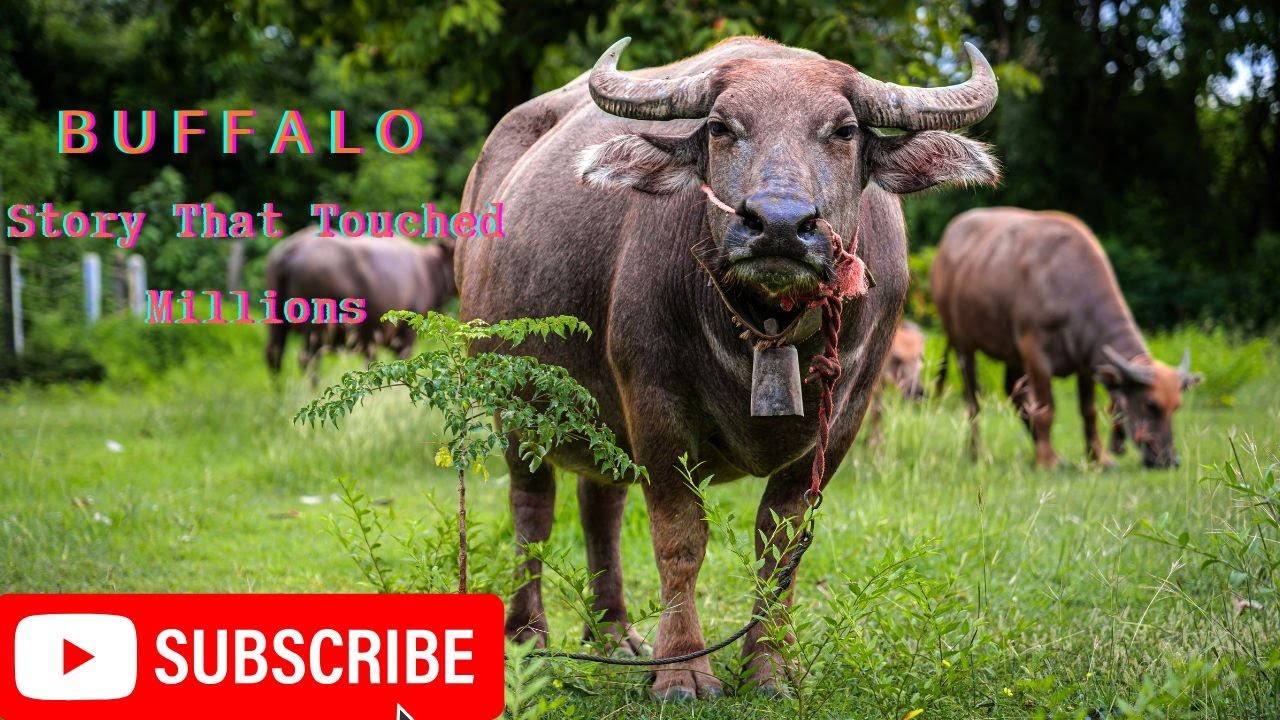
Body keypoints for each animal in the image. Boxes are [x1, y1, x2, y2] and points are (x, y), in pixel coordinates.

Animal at [264, 227, 455, 379]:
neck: (430, 268)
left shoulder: (369, 340)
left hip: (278, 325)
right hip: (316, 330)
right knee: (308, 360)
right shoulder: (405, 336)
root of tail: (293, 249)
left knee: (274, 357)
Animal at [456, 36, 998, 699]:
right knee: (532, 508)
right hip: (510, 398)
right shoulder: (656, 407)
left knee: (599, 505)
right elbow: (681, 540)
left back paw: (615, 636)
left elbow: (781, 548)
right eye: (720, 127)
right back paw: (531, 637)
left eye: (844, 130)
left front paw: (769, 668)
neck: (768, 333)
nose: (780, 224)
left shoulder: (843, 422)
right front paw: (682, 669)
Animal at [931, 207, 1201, 469]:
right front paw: (1047, 461)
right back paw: (978, 452)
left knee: (1014, 392)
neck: (1068, 288)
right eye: (1151, 405)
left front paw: (1098, 457)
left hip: (1012, 354)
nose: (1170, 460)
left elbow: (1088, 411)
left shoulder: (1086, 361)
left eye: (1176, 406)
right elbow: (1046, 408)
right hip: (963, 344)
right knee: (973, 401)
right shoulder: (1035, 355)